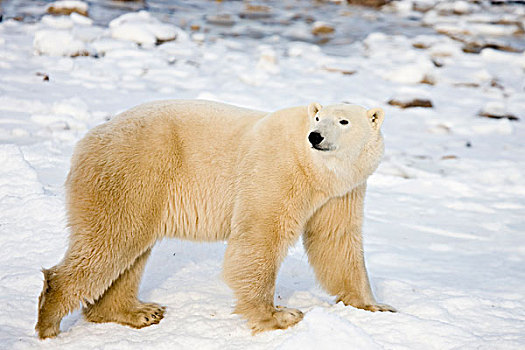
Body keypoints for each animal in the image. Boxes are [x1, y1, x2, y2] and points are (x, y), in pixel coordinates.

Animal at [35, 99, 392, 340]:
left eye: (343, 121)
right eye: (318, 117)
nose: (315, 136)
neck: (315, 170)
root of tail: (87, 140)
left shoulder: (341, 193)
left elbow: (337, 242)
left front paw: (375, 306)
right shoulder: (276, 171)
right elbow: (260, 237)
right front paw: (279, 316)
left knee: (129, 252)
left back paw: (137, 311)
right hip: (130, 172)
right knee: (109, 241)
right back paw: (50, 323)